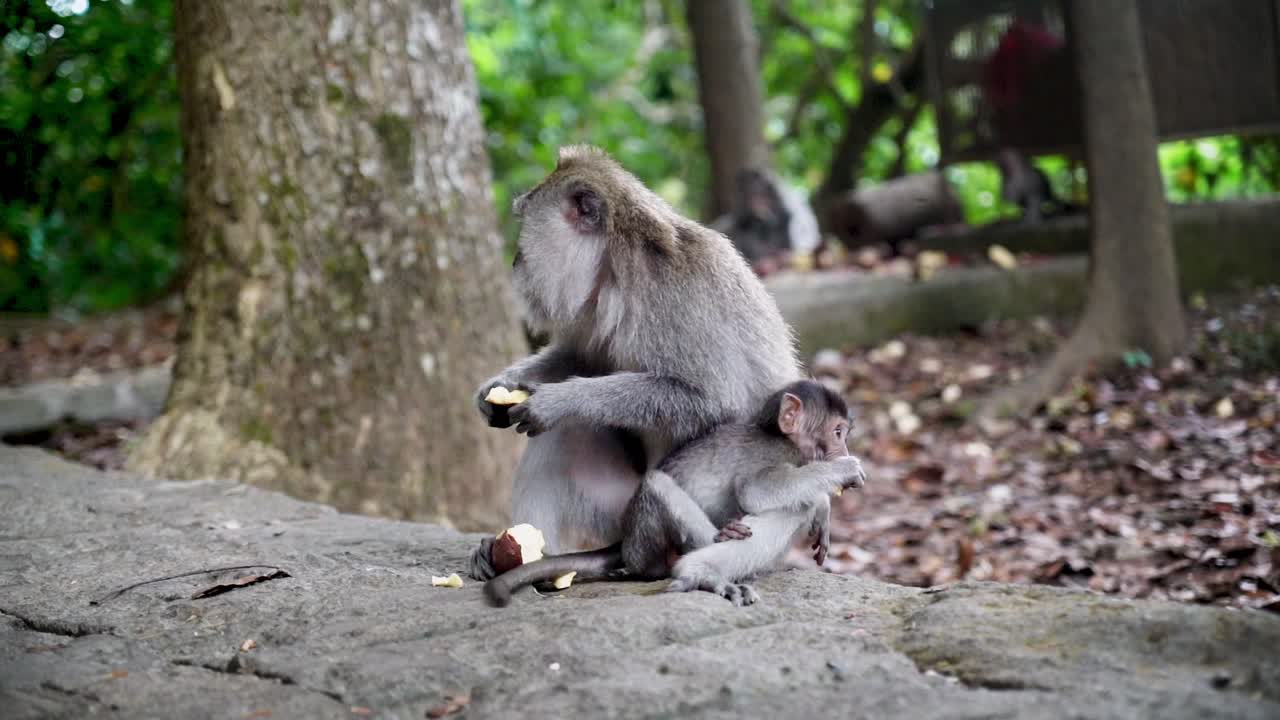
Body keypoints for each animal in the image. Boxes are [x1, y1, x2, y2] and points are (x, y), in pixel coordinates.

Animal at [468, 145, 801, 580]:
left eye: (525, 220)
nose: (515, 261)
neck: (617, 267)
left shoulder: (679, 294)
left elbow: (711, 399)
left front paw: (558, 401)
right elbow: (580, 357)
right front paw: (497, 389)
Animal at [483, 380, 866, 607]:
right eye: (837, 432)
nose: (844, 448)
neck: (783, 438)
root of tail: (626, 538)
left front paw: (824, 508)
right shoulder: (774, 455)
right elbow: (757, 492)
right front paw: (840, 473)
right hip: (644, 539)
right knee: (658, 486)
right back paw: (698, 569)